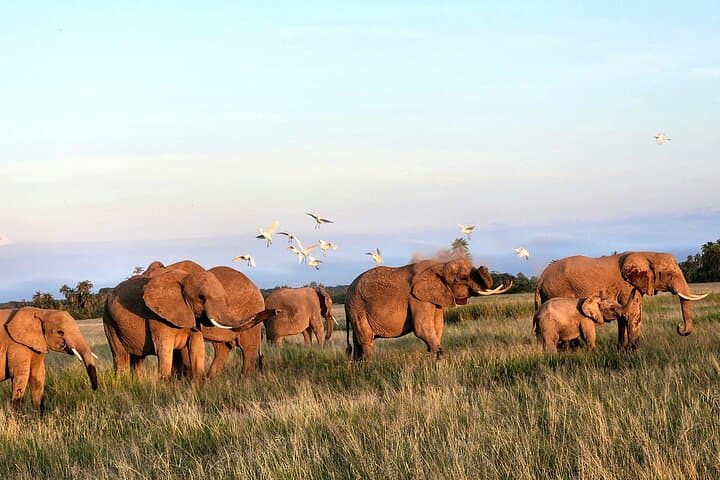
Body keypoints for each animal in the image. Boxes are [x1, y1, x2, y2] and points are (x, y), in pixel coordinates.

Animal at [103, 260, 275, 381]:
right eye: (201, 297)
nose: (276, 311)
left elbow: (194, 347)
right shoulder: (157, 316)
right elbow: (168, 350)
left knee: (243, 349)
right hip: (110, 323)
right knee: (123, 357)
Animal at [344, 258, 512, 360]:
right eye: (459, 279)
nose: (507, 280)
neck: (440, 265)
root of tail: (347, 293)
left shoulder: (435, 299)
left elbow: (438, 327)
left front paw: (434, 360)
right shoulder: (417, 299)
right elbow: (422, 328)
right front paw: (438, 357)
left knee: (358, 341)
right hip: (357, 307)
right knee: (366, 339)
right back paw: (369, 366)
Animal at [535, 252, 709, 350]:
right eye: (670, 274)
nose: (679, 327)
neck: (647, 254)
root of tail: (541, 277)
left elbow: (624, 317)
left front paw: (622, 350)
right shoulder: (627, 285)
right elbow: (633, 314)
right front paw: (634, 351)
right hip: (556, 291)